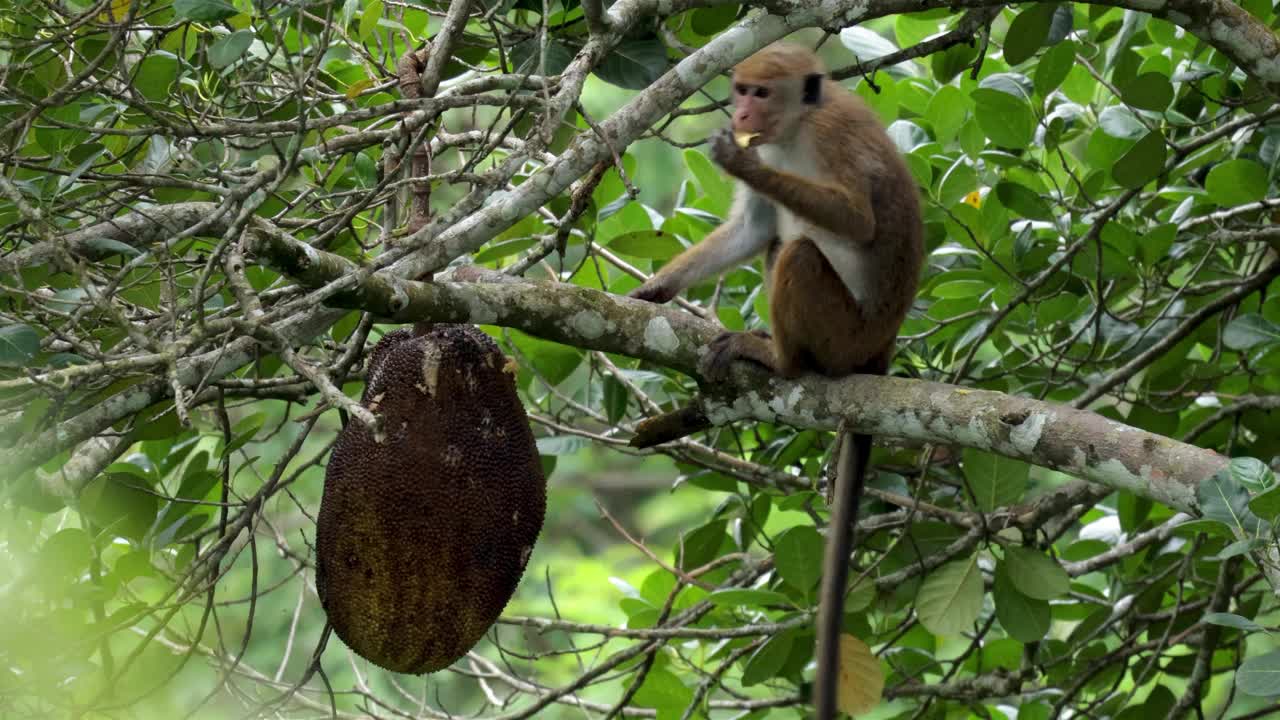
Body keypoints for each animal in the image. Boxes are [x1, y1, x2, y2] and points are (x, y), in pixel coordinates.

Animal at [627, 41, 921, 712]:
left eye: (759, 93)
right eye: (739, 89)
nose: (739, 112)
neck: (794, 128)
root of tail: (881, 346)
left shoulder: (833, 138)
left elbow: (857, 222)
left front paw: (739, 161)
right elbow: (752, 231)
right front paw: (654, 291)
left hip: (844, 333)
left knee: (801, 254)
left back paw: (782, 360)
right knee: (776, 243)